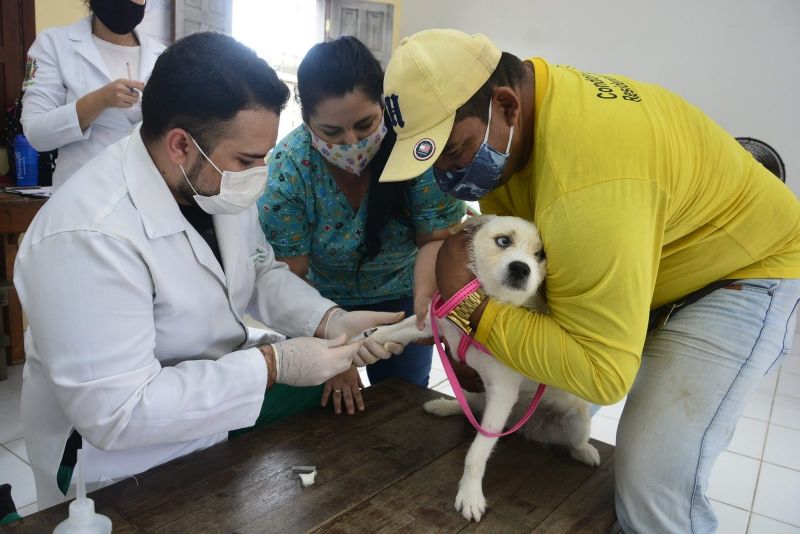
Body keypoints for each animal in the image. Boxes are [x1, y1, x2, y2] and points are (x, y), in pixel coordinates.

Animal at [366, 217, 596, 524]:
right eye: (503, 241)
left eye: (540, 255)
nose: (521, 268)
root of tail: (519, 424)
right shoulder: (436, 323)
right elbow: (402, 328)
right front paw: (372, 337)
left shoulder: (502, 393)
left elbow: (476, 453)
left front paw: (470, 495)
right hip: (468, 390)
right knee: (469, 408)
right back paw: (444, 406)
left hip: (577, 420)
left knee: (575, 441)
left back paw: (586, 452)